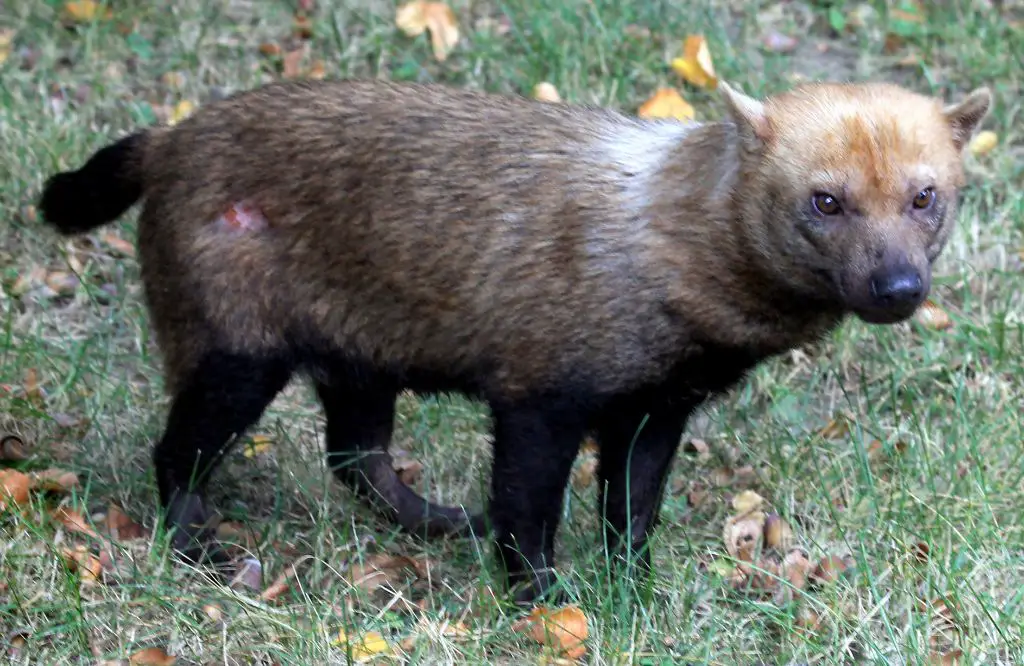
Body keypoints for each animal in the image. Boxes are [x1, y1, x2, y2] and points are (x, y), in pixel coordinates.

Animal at [39, 76, 991, 602]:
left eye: (925, 195)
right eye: (824, 200)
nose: (898, 289)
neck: (663, 246)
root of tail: (167, 141)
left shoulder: (655, 410)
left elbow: (630, 512)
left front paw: (634, 590)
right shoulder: (540, 396)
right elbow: (527, 513)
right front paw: (542, 600)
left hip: (360, 356)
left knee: (355, 456)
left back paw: (435, 521)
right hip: (236, 357)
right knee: (179, 453)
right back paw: (198, 545)